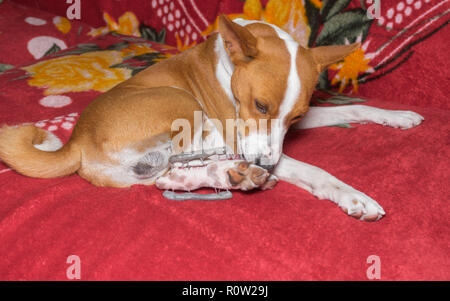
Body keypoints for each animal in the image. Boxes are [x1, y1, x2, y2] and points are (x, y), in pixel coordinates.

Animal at [0, 15, 424, 220]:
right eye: (260, 106)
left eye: (294, 116)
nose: (262, 163)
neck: (227, 67)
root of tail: (75, 143)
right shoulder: (242, 136)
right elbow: (315, 171)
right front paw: (353, 196)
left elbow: (351, 108)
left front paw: (397, 116)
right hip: (183, 102)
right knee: (187, 160)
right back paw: (233, 174)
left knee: (171, 174)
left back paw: (226, 177)